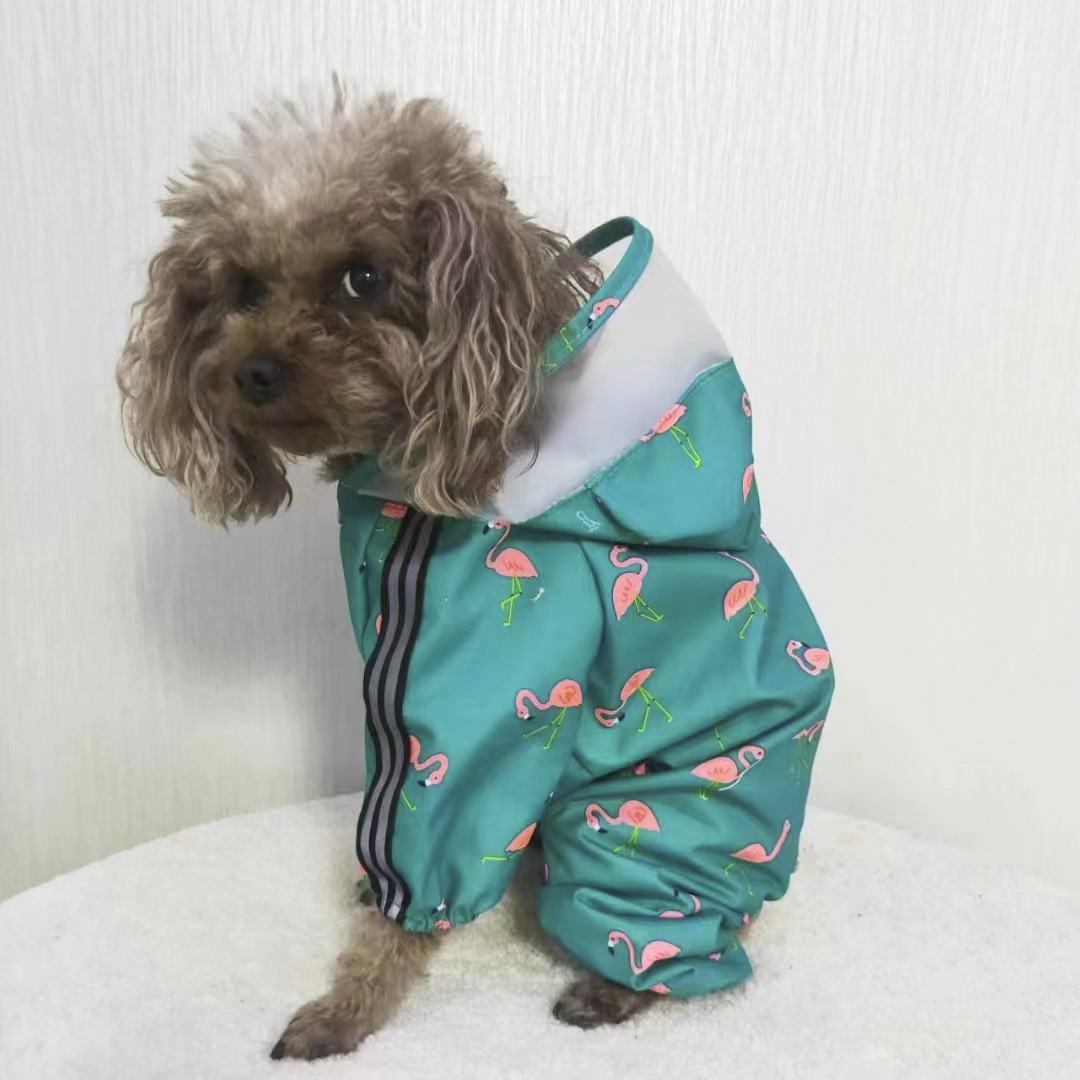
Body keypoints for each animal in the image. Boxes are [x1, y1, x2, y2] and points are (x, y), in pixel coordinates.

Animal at [118, 84, 834, 1061]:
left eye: (365, 278)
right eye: (242, 287)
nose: (251, 371)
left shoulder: (466, 693)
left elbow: (424, 855)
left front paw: (347, 1008)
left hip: (647, 830)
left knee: (693, 947)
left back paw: (612, 987)